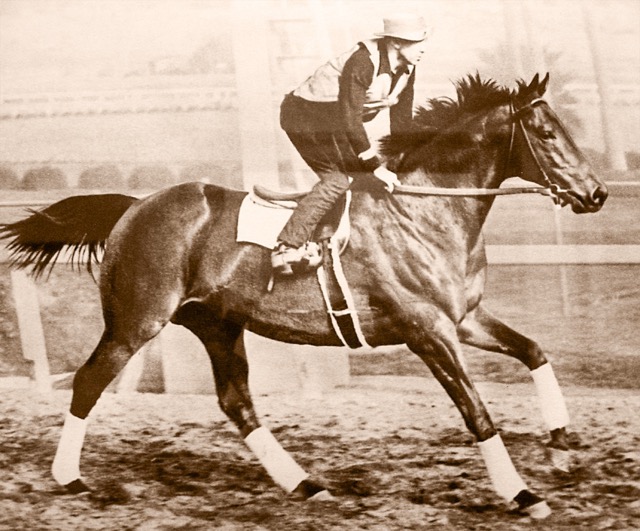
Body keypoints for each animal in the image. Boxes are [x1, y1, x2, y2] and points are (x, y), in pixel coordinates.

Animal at [2, 74, 608, 520]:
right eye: (547, 134)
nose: (597, 193)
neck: (426, 209)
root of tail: (134, 206)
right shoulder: (427, 331)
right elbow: (477, 412)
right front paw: (523, 494)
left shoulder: (464, 320)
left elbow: (534, 351)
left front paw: (560, 447)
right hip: (137, 322)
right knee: (88, 381)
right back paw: (69, 478)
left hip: (217, 324)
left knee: (237, 403)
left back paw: (305, 485)